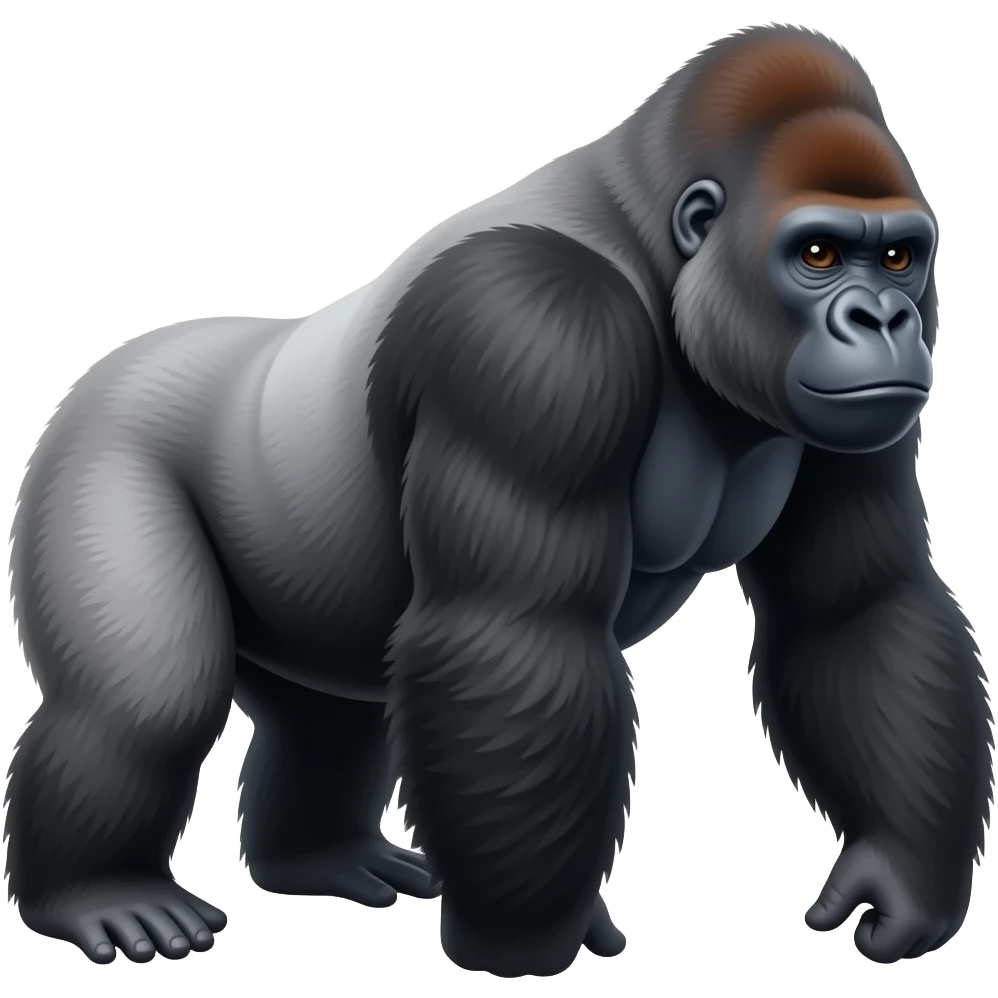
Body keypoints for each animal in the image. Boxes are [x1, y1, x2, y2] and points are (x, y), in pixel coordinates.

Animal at [4, 22, 992, 975]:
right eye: (817, 253)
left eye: (899, 257)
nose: (884, 319)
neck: (653, 242)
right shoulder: (535, 325)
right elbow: (514, 633)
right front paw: (524, 942)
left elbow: (858, 606)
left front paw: (903, 879)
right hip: (99, 442)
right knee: (146, 706)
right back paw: (98, 892)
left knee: (327, 717)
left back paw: (318, 856)